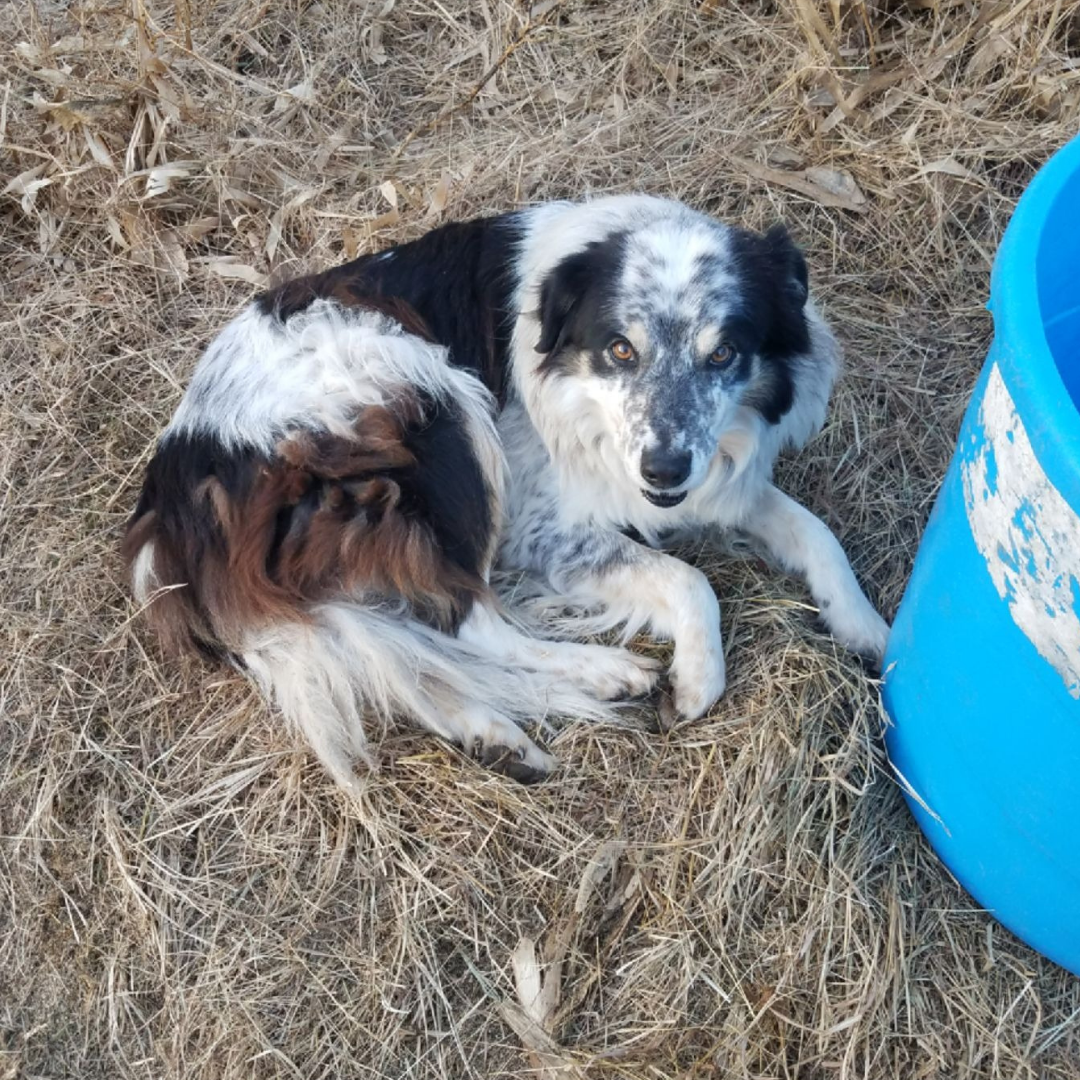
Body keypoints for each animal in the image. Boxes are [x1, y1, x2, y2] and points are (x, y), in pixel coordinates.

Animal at [122, 194, 889, 790]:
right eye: (621, 350)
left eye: (724, 353)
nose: (663, 471)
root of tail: (178, 479)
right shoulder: (540, 526)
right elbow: (687, 579)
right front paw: (699, 678)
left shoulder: (717, 479)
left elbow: (815, 533)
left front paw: (870, 629)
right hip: (436, 395)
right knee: (463, 619)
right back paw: (602, 672)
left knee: (407, 645)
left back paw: (493, 736)